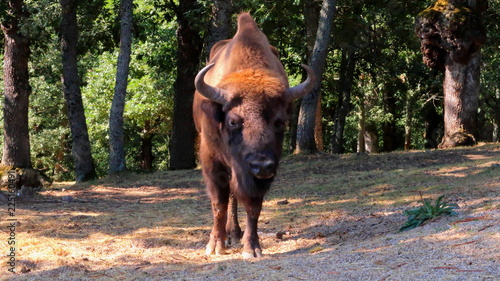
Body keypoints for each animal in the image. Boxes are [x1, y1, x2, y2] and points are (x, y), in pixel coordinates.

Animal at [193, 13, 314, 258]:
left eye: (279, 122)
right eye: (233, 121)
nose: (262, 166)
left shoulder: (257, 177)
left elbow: (252, 205)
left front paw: (252, 248)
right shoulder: (212, 160)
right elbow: (218, 203)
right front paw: (215, 246)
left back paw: (235, 234)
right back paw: (227, 237)